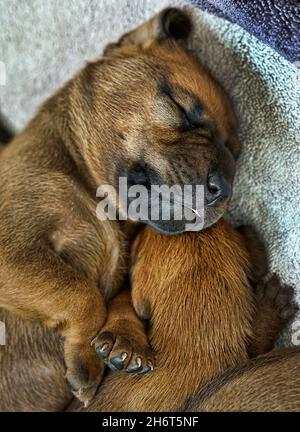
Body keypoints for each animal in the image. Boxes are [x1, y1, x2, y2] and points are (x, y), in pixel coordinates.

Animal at [0, 7, 241, 404]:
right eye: (181, 109)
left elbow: (118, 298)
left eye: (236, 152)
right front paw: (85, 362)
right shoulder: (14, 247)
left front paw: (125, 344)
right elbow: (81, 294)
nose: (225, 185)